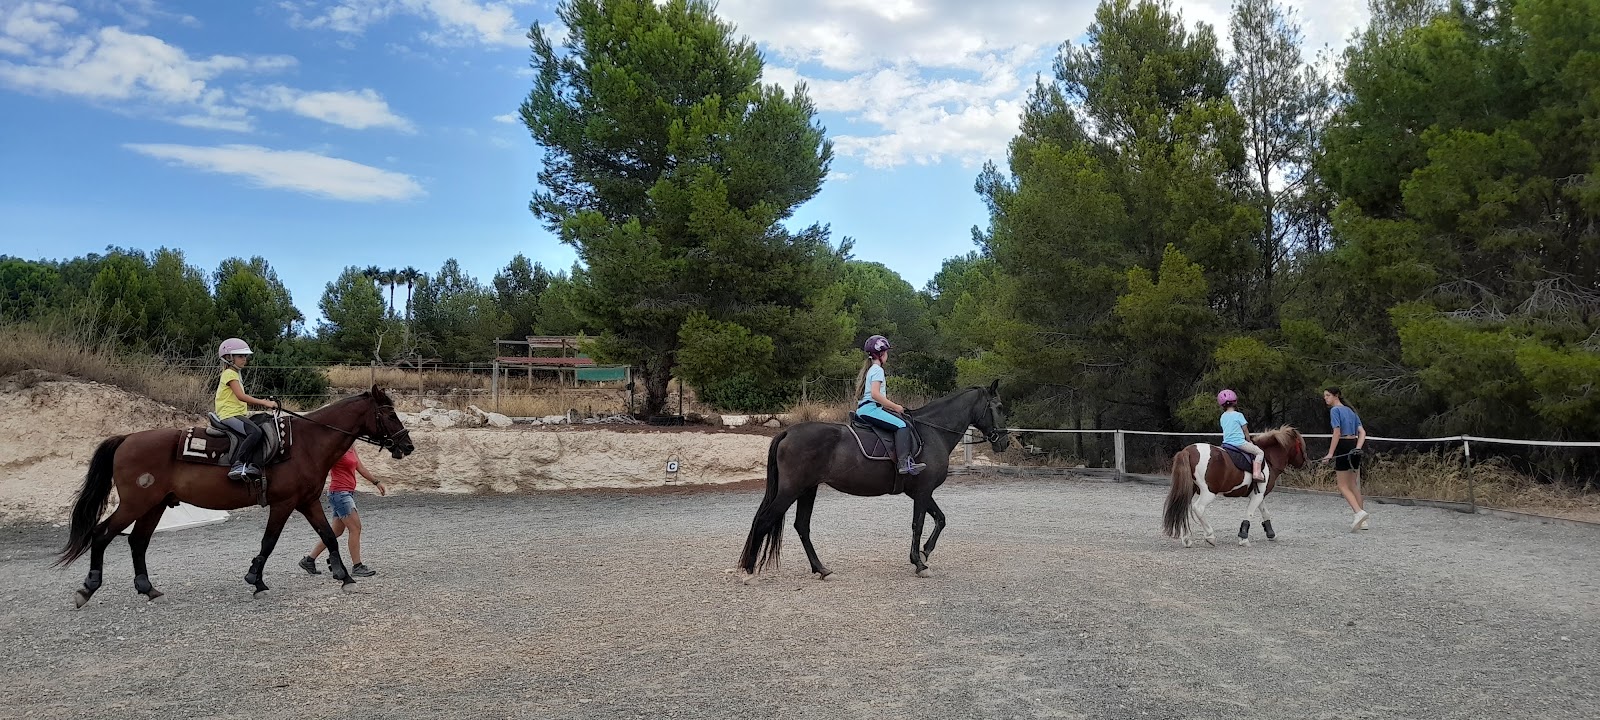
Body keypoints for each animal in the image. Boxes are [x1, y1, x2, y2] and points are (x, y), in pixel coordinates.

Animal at [55, 386, 415, 607]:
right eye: (389, 414)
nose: (408, 446)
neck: (305, 444)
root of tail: (127, 438)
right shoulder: (284, 504)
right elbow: (269, 542)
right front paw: (256, 579)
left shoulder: (308, 501)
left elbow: (328, 535)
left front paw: (344, 576)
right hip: (135, 504)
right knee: (102, 534)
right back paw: (88, 587)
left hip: (153, 505)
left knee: (137, 542)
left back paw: (148, 589)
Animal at [738, 380, 1010, 581]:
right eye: (998, 407)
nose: (1004, 442)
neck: (932, 432)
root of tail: (787, 432)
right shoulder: (922, 492)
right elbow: (918, 524)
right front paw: (919, 563)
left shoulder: (921, 492)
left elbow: (940, 519)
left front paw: (924, 553)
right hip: (791, 490)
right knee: (764, 520)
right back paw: (749, 571)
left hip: (807, 489)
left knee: (802, 526)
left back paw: (821, 569)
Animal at [1161, 426, 1307, 548]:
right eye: (1300, 444)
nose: (1304, 462)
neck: (1268, 460)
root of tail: (1187, 451)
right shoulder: (1258, 495)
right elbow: (1249, 513)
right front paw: (1243, 538)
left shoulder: (1259, 495)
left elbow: (1265, 513)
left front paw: (1271, 534)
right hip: (1209, 492)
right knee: (1198, 508)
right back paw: (1210, 536)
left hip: (1189, 490)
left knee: (1182, 508)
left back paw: (1186, 539)